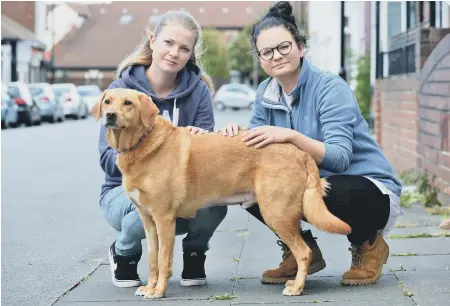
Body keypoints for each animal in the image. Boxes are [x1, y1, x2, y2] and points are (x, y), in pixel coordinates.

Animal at [92, 88, 352, 298]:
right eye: (108, 101)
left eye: (128, 103)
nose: (110, 115)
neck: (141, 144)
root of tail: (300, 152)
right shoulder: (148, 220)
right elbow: (153, 259)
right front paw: (150, 287)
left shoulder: (165, 219)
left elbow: (164, 260)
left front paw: (159, 291)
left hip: (276, 212)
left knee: (304, 252)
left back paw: (297, 287)